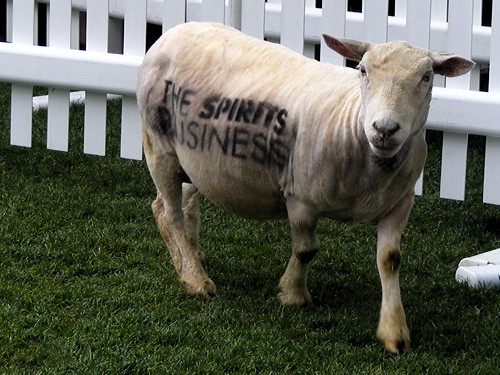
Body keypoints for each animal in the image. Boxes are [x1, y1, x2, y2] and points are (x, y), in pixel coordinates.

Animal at [136, 22, 472, 354]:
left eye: (426, 77)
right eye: (362, 70)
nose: (384, 129)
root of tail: (175, 31)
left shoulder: (400, 204)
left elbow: (390, 260)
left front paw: (395, 332)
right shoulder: (302, 199)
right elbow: (306, 249)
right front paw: (293, 294)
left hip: (195, 161)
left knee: (180, 202)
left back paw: (189, 254)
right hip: (159, 145)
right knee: (167, 211)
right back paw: (194, 278)